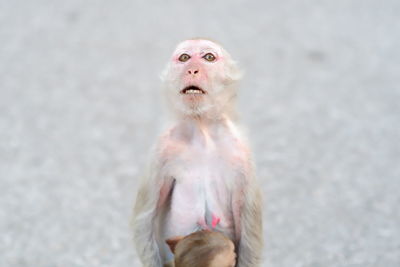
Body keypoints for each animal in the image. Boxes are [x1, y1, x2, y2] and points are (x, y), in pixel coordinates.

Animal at [131, 38, 262, 267]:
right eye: (184, 57)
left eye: (208, 57)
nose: (192, 69)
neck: (202, 131)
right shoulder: (161, 149)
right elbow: (144, 218)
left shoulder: (243, 154)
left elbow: (247, 226)